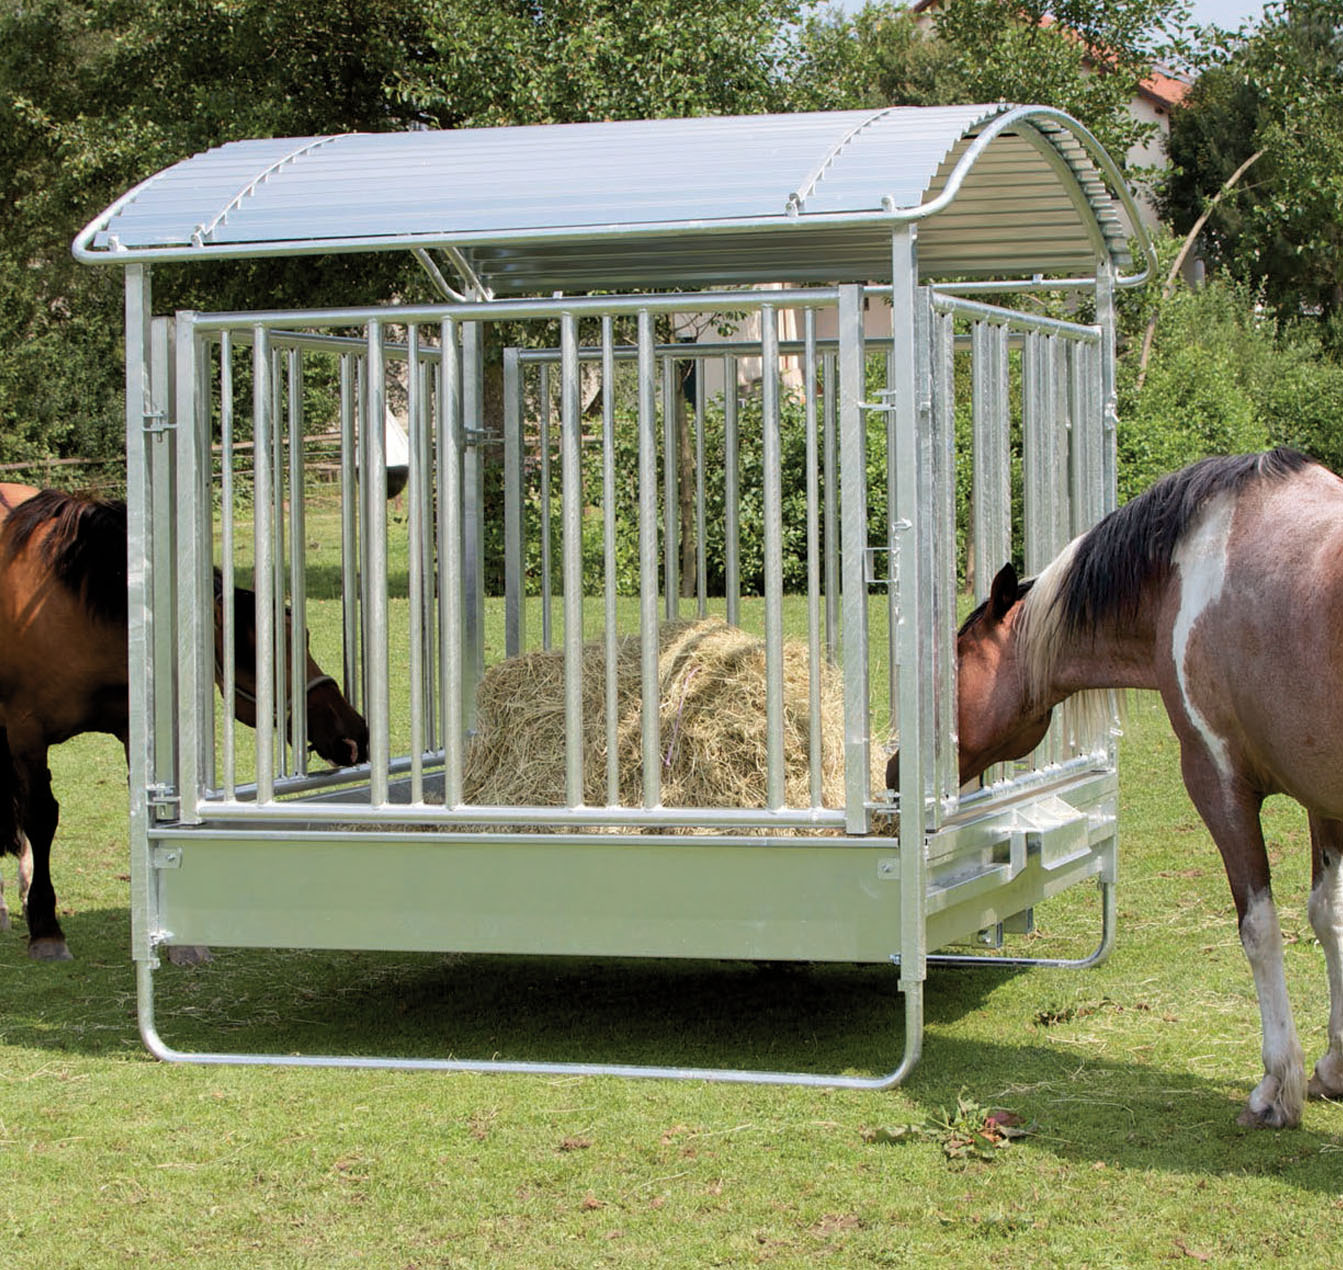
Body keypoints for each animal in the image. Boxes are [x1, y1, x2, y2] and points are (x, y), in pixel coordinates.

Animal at [0, 483, 369, 962]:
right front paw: (46, 929)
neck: (69, 612)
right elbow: (41, 817)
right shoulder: (26, 732)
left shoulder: (134, 729)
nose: (353, 733)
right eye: (261, 659)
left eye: (303, 637)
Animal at [924, 447, 1343, 1128]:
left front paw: (1277, 1088)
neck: (1185, 576)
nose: (893, 769)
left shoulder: (1220, 784)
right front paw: (1333, 1066)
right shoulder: (1321, 797)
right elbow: (1328, 915)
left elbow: (1259, 928)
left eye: (956, 663)